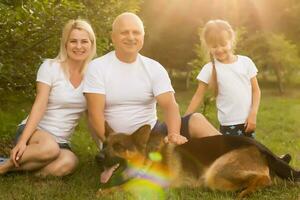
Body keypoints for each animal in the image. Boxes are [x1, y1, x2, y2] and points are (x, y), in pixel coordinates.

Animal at [98, 123, 300, 198]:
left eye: (118, 146)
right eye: (104, 145)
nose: (98, 157)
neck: (146, 158)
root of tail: (262, 149)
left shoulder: (155, 184)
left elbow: (127, 185)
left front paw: (106, 192)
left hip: (215, 173)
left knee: (265, 179)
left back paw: (244, 193)